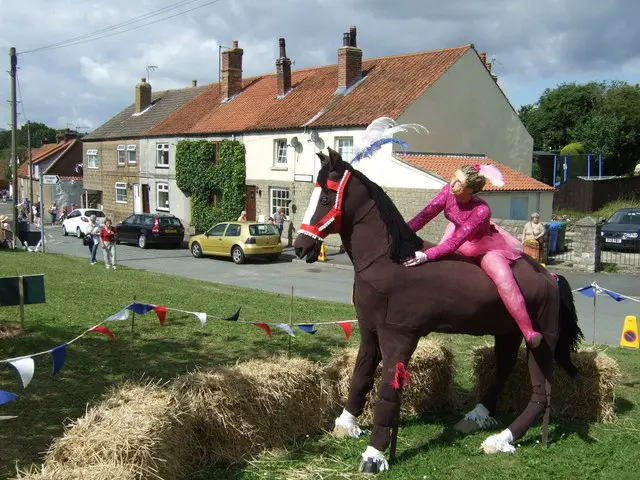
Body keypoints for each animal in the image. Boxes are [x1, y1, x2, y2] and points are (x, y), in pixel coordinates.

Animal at [292, 149, 584, 472]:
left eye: (326, 198)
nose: (301, 247)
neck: (388, 261)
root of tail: (550, 277)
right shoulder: (370, 331)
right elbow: (361, 375)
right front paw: (347, 423)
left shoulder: (399, 337)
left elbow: (386, 392)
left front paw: (374, 455)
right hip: (508, 333)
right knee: (504, 369)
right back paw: (477, 417)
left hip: (541, 343)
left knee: (542, 394)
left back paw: (501, 439)